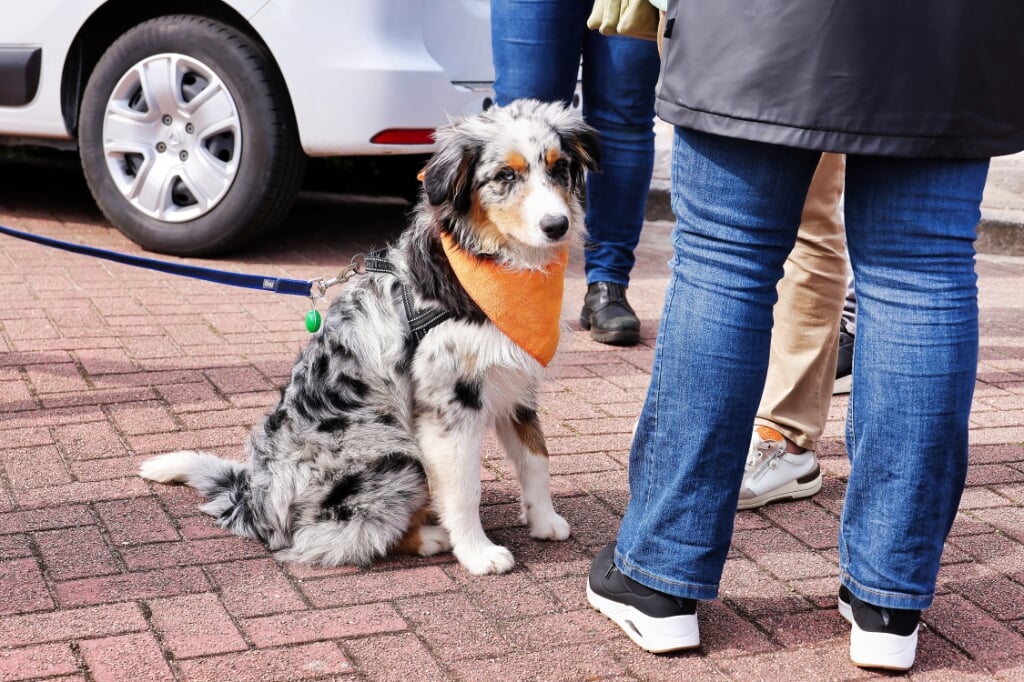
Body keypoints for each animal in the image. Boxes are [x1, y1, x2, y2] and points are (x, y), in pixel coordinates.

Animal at [137, 98, 598, 569]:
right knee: (332, 537)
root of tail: (255, 501)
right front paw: (478, 553)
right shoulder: (449, 403)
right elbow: (465, 487)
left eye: (560, 168)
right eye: (506, 175)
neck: (492, 270)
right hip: (397, 453)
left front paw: (544, 520)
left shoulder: (514, 382)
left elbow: (536, 456)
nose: (557, 225)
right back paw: (431, 538)